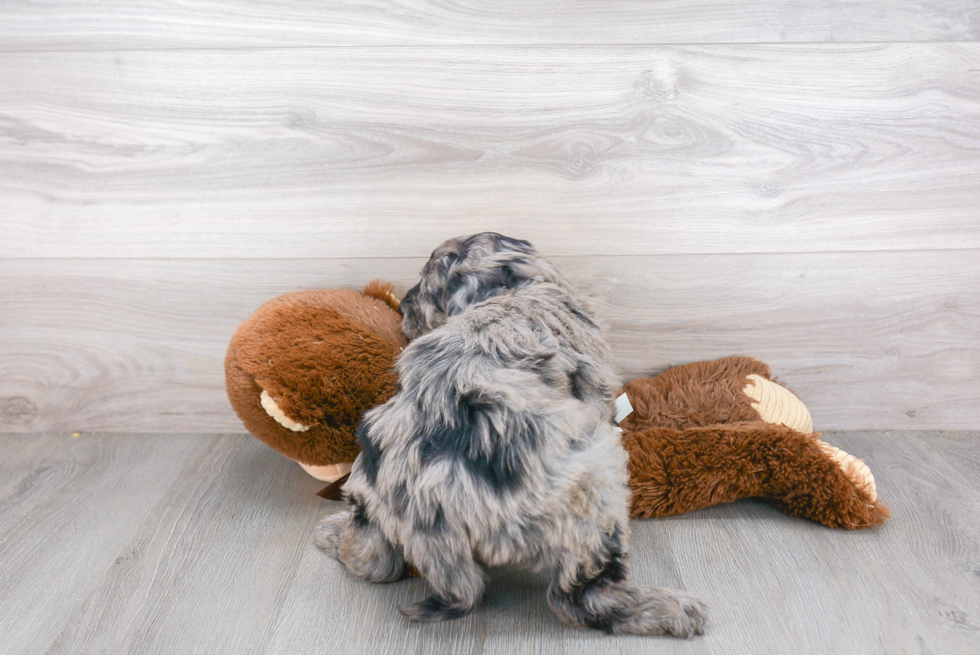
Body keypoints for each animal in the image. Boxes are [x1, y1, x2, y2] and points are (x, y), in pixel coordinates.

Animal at [318, 233, 708, 640]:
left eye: (425, 287)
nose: (405, 304)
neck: (515, 290)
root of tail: (427, 496)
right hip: (593, 483)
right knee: (579, 598)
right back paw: (669, 609)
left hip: (367, 490)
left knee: (372, 561)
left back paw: (332, 533)